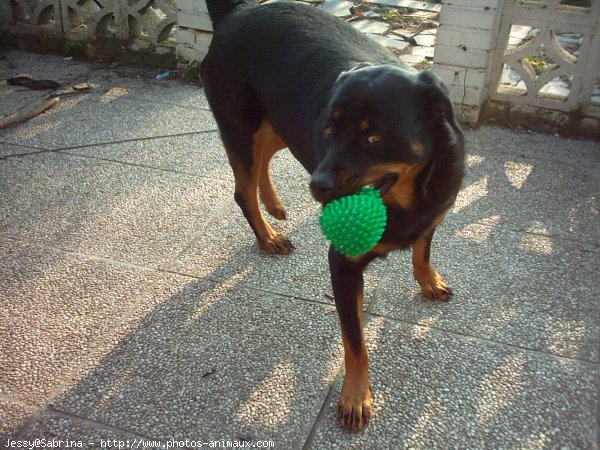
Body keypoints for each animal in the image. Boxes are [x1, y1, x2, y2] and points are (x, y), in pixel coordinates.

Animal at [200, 0, 464, 430]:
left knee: (263, 160)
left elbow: (422, 248)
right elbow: (355, 343)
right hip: (240, 127)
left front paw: (429, 279)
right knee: (243, 188)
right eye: (328, 129)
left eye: (374, 137)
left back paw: (273, 204)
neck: (404, 199)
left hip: (278, 123)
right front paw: (356, 396)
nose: (317, 186)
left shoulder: (433, 213)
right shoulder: (342, 265)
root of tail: (239, 11)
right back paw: (267, 234)